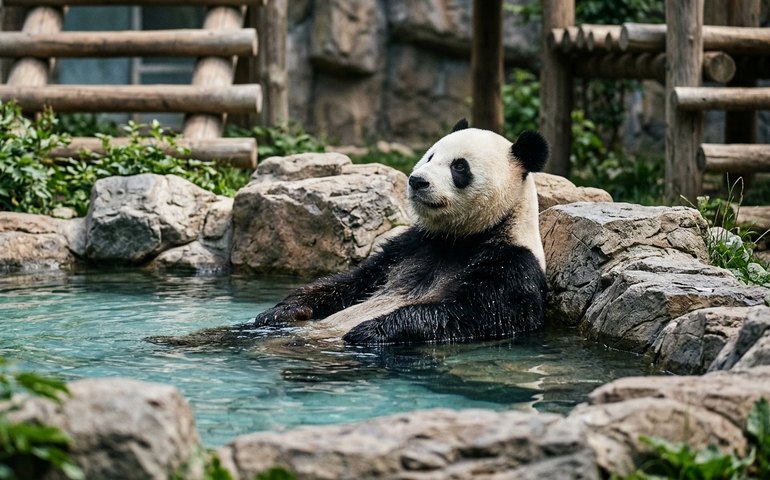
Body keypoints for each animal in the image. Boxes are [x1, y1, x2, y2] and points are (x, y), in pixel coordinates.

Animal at [254, 119, 549, 345]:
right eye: (430, 156)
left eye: (459, 166)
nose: (417, 181)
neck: (461, 237)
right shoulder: (409, 247)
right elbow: (352, 281)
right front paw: (283, 310)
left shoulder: (512, 264)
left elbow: (474, 312)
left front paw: (370, 330)